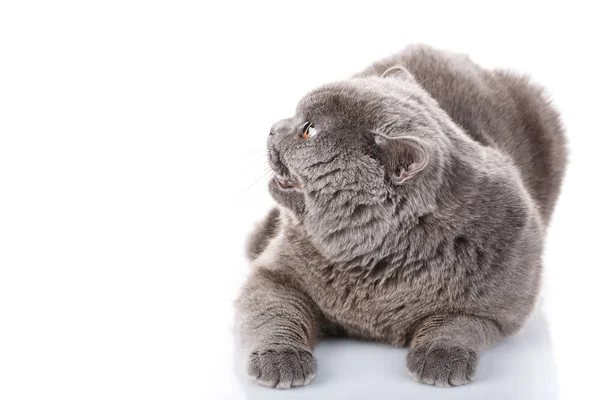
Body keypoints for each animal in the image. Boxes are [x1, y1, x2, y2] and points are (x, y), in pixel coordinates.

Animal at [236, 43, 568, 388]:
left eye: (309, 131)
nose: (273, 127)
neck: (374, 258)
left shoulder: (500, 304)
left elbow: (457, 323)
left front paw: (440, 358)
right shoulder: (275, 275)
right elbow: (276, 314)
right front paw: (280, 359)